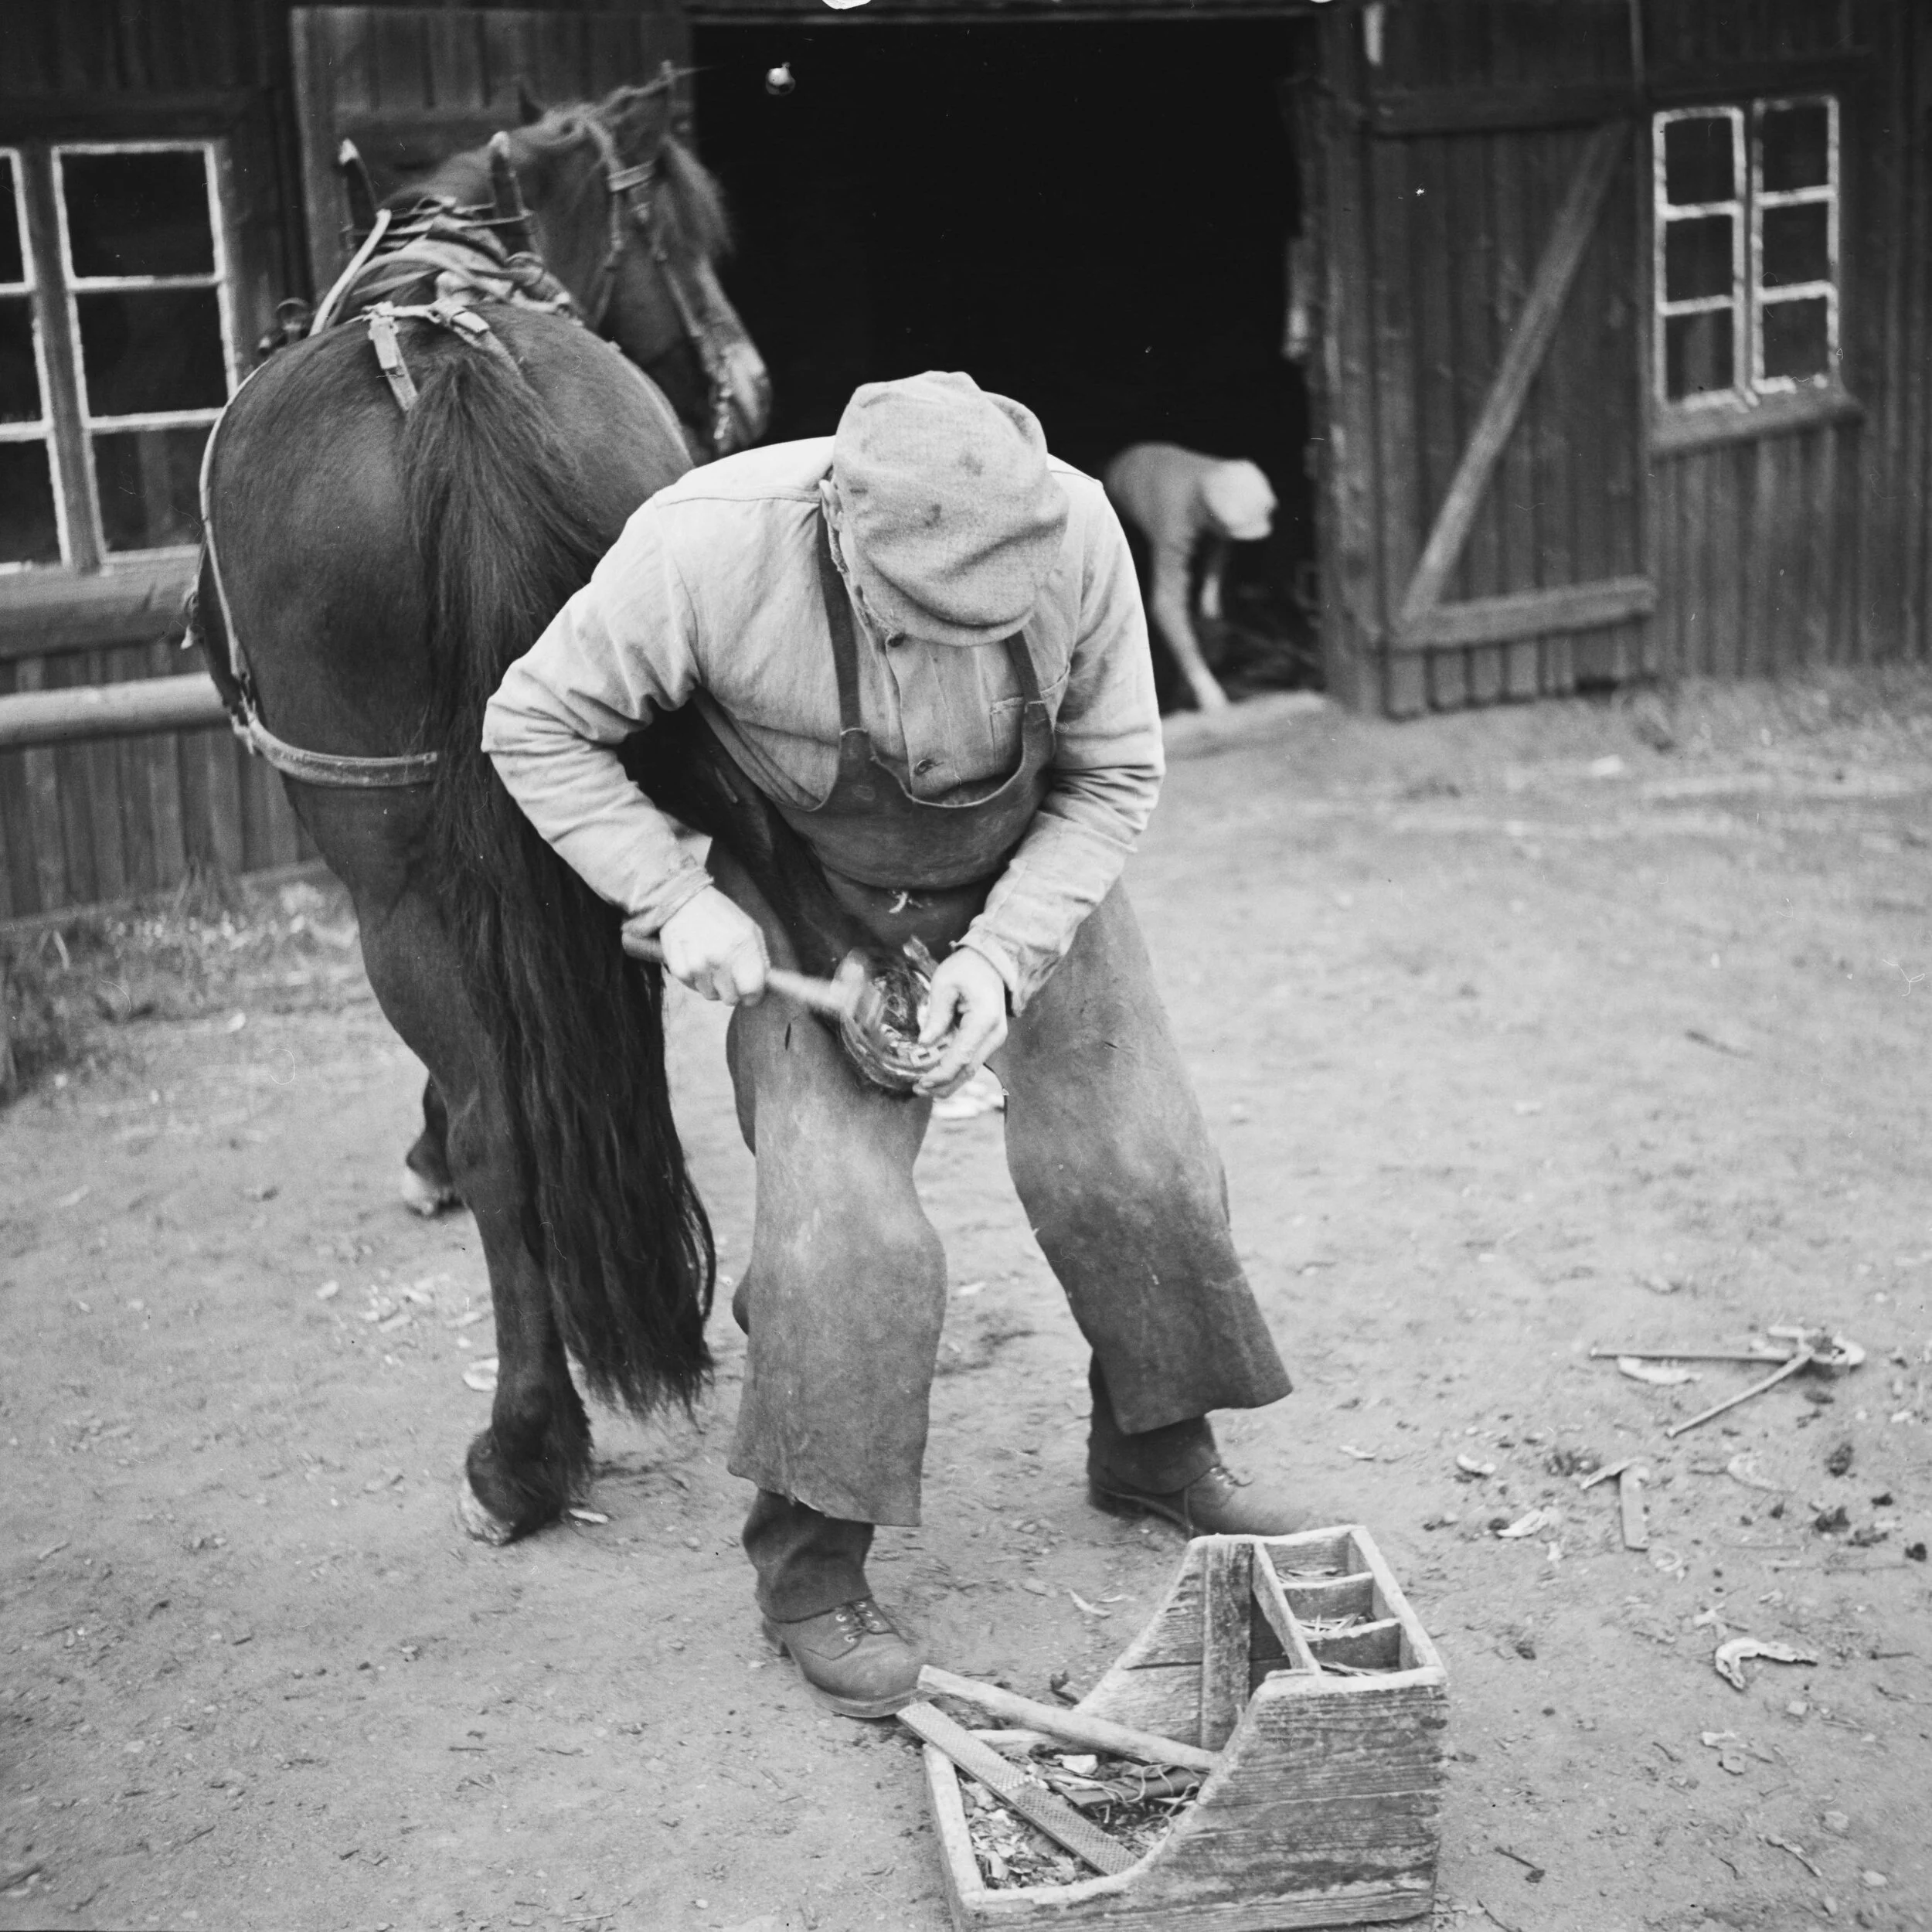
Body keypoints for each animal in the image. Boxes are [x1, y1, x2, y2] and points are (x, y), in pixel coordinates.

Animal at [190, 76, 816, 1546]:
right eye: (674, 236)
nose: (753, 382)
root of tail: (453, 365)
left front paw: (422, 1156)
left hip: (389, 869)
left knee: (500, 1126)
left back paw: (525, 1442)